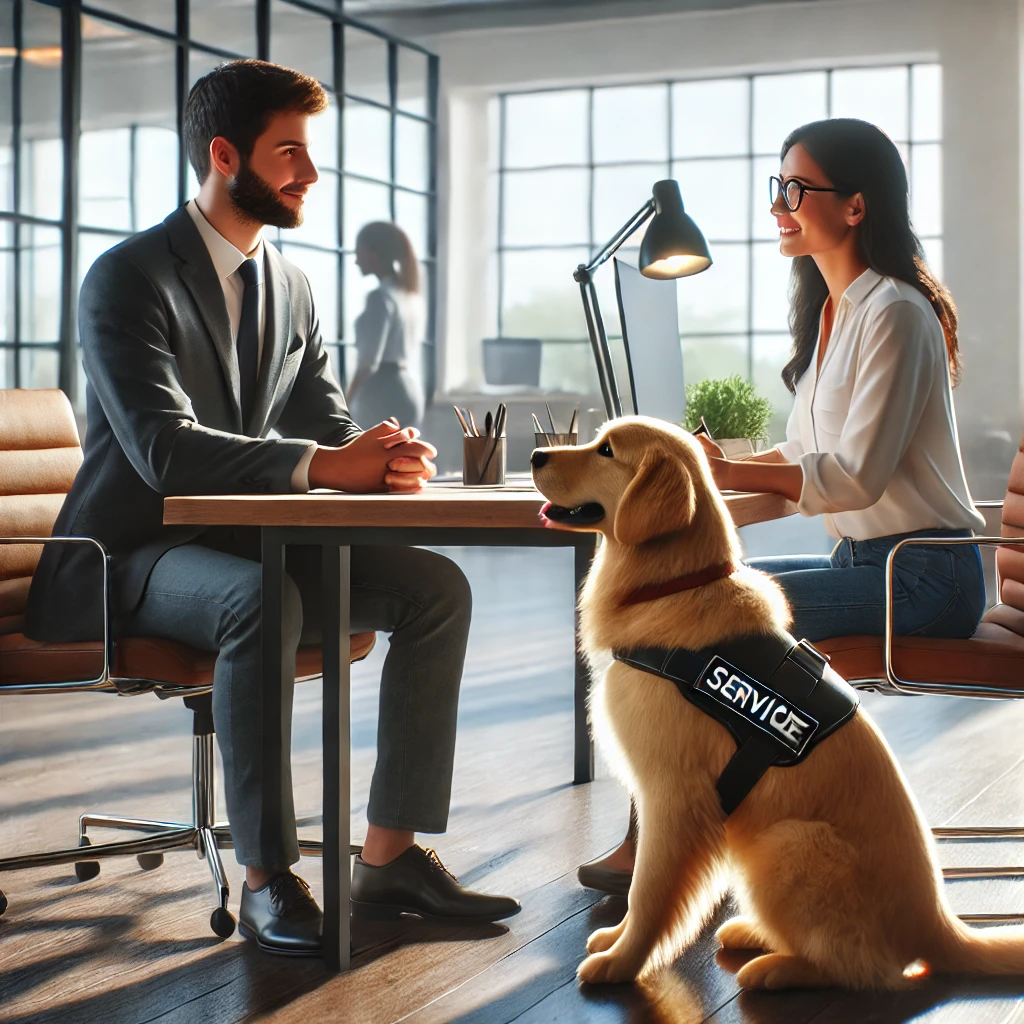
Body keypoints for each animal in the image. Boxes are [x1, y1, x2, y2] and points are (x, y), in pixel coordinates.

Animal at [532, 415, 1024, 991]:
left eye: (607, 450)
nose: (536, 455)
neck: (672, 586)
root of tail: (939, 924)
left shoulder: (674, 798)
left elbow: (646, 892)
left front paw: (623, 962)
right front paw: (615, 940)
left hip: (784, 843)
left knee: (864, 967)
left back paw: (777, 967)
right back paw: (755, 934)